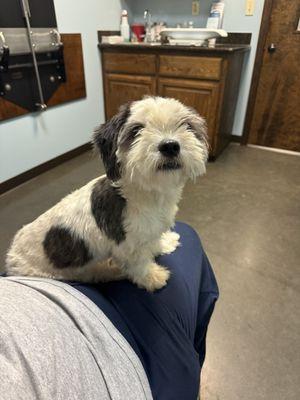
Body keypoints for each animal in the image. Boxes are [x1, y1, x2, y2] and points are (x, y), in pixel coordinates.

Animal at [5, 97, 209, 290]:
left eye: (186, 125)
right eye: (136, 130)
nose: (170, 146)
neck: (144, 194)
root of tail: (10, 257)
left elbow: (152, 240)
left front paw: (163, 244)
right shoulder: (127, 245)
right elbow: (138, 263)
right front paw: (151, 277)